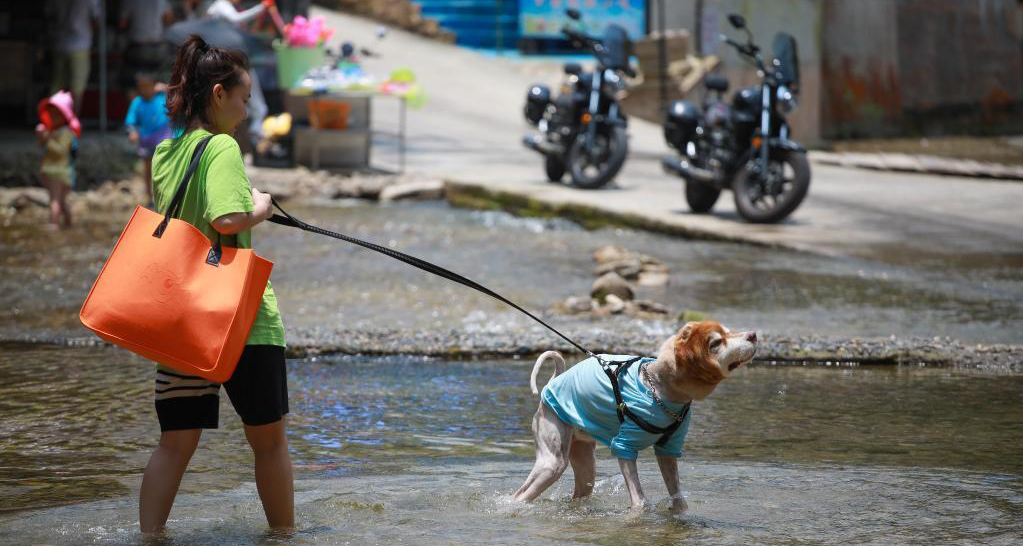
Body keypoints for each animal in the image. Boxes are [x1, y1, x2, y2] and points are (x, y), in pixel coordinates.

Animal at [515, 321, 757, 513]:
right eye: (715, 343)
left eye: (730, 331)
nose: (753, 335)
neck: (658, 390)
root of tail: (551, 385)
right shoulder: (625, 446)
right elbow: (640, 502)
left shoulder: (669, 449)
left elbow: (679, 499)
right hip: (552, 461)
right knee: (519, 495)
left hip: (584, 460)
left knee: (581, 489)